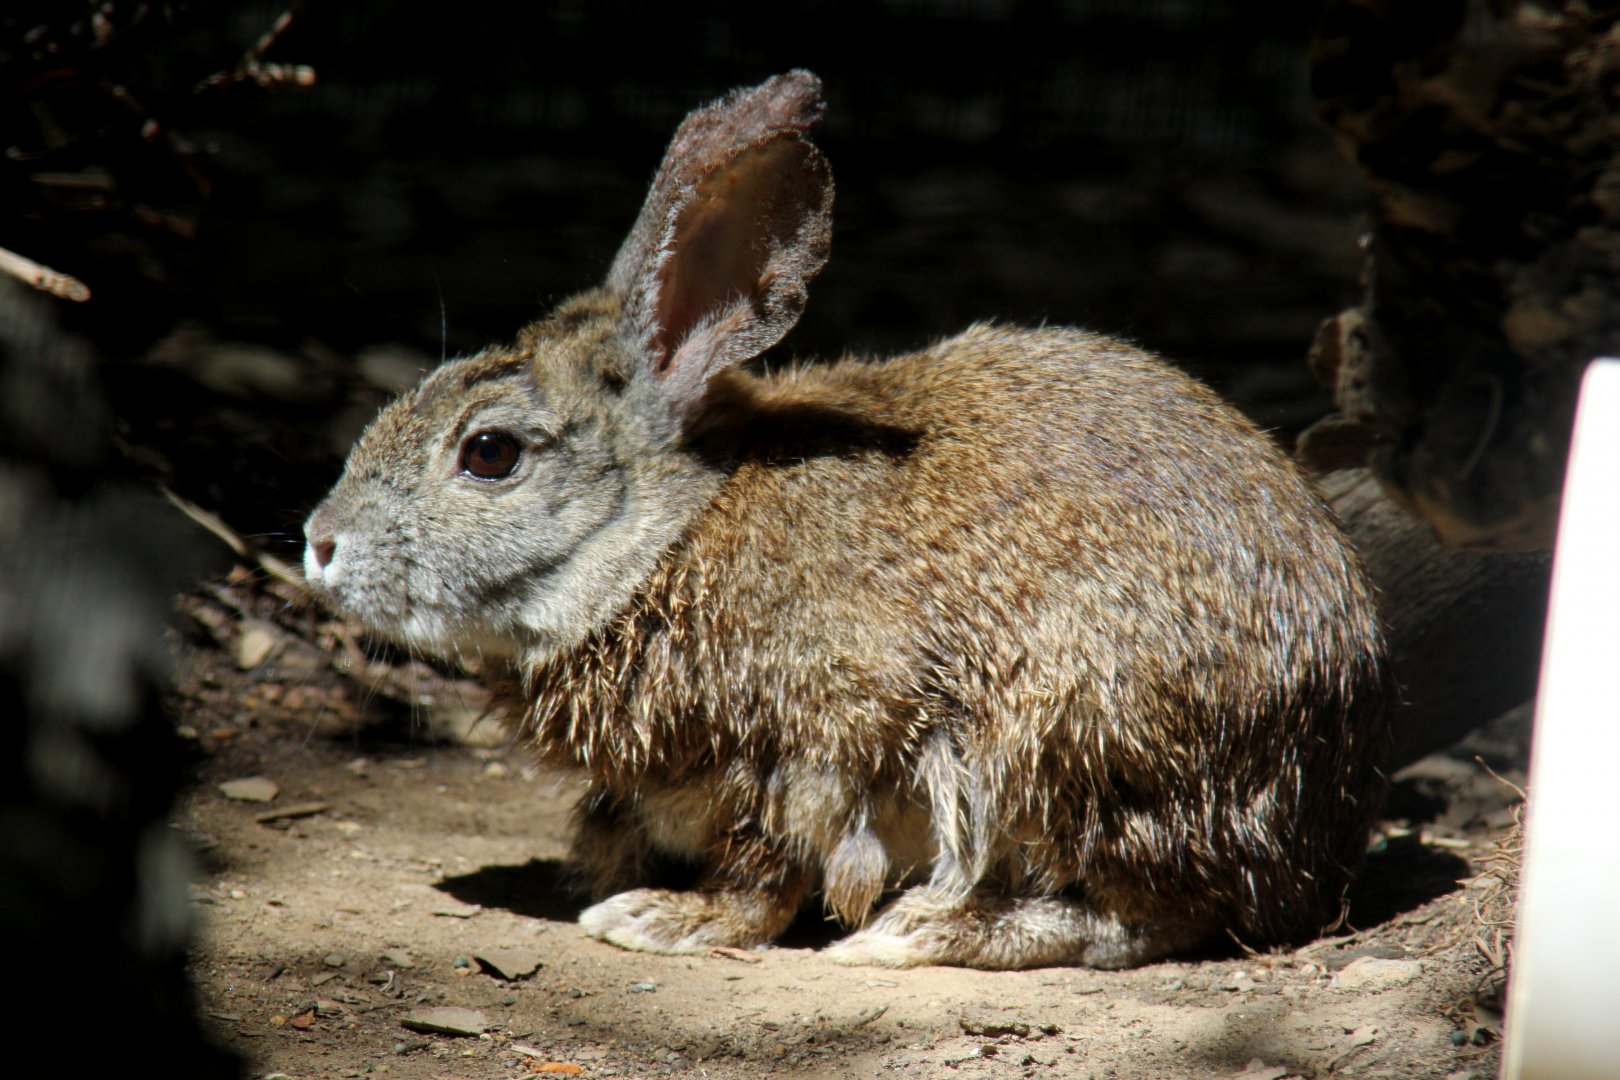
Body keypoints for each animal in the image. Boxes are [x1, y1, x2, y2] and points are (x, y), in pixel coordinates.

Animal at [302, 70, 1391, 970]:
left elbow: (765, 870)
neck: (666, 536)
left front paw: (660, 919)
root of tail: (1329, 778)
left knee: (1155, 912)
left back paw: (929, 934)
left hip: (1072, 737)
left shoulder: (815, 741)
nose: (320, 545)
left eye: (490, 454)